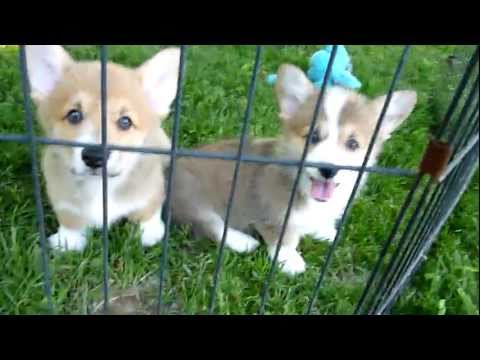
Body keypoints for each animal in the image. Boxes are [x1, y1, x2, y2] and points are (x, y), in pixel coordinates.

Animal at [25, 45, 180, 250]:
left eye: (125, 121)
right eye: (74, 115)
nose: (94, 156)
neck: (99, 186)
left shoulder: (151, 189)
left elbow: (147, 209)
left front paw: (149, 232)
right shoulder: (61, 195)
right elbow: (70, 218)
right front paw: (68, 241)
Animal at [172, 63, 416, 276]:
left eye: (353, 144)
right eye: (312, 136)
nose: (328, 170)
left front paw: (325, 231)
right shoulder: (271, 213)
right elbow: (284, 237)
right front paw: (289, 260)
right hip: (192, 194)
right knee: (210, 224)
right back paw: (242, 241)